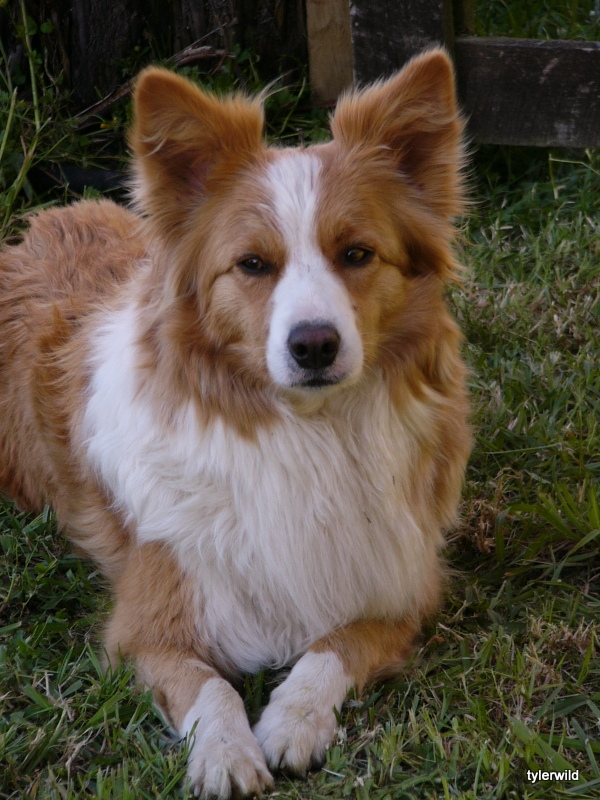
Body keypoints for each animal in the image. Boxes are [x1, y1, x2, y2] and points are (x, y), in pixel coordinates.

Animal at [0, 48, 471, 798]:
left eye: (357, 253)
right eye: (252, 264)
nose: (314, 345)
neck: (307, 433)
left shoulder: (401, 587)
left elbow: (331, 649)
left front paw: (292, 720)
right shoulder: (147, 624)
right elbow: (211, 687)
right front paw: (226, 752)